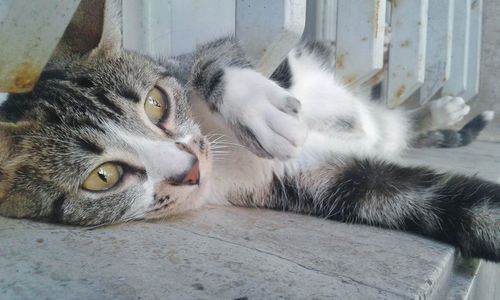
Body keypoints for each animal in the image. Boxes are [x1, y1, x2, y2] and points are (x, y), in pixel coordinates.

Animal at [0, 0, 498, 262]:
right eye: (102, 177)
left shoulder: (239, 59)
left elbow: (218, 56)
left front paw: (259, 109)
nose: (191, 169)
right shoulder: (312, 182)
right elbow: (419, 198)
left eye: (156, 102)